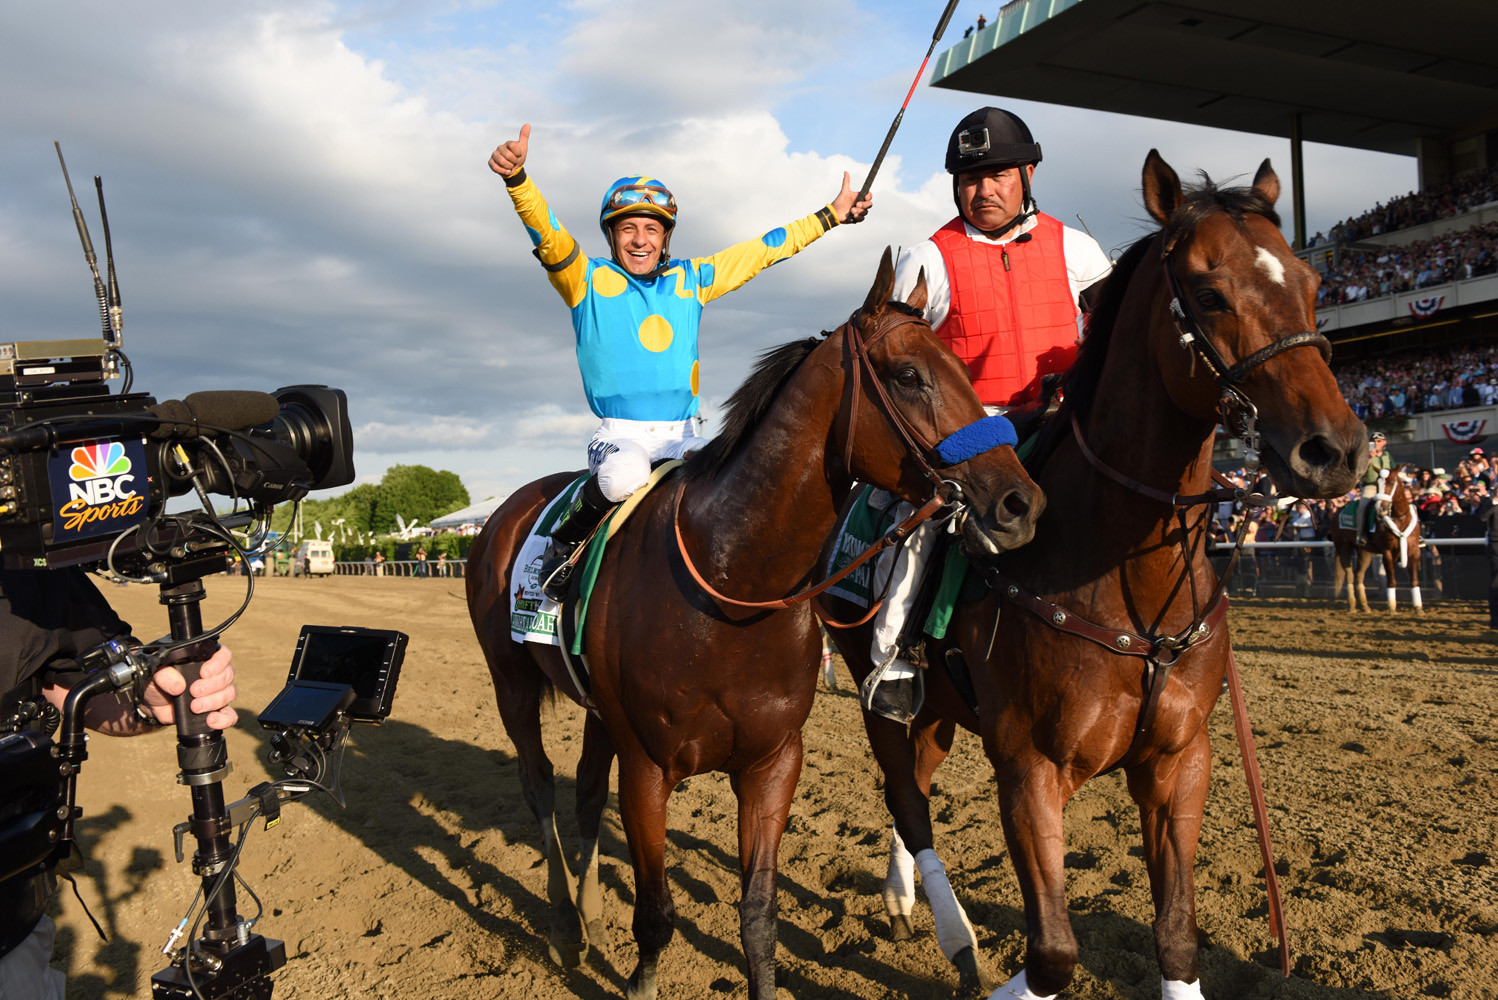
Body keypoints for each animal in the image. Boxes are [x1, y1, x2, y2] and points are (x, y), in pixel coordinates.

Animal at [467, 251, 1042, 999]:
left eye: (967, 374)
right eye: (910, 376)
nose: (1019, 502)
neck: (733, 584)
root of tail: (501, 513)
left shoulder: (773, 761)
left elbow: (759, 916)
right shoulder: (647, 764)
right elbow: (656, 909)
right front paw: (640, 975)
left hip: (596, 709)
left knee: (586, 793)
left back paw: (588, 915)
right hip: (510, 679)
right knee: (537, 782)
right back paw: (565, 921)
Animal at [820, 150, 1372, 999]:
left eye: (1313, 287)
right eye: (1208, 293)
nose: (1335, 450)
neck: (1129, 587)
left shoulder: (1180, 763)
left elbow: (1176, 940)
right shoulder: (1029, 768)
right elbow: (1051, 953)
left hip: (939, 709)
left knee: (916, 781)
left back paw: (904, 896)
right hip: (875, 687)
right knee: (902, 789)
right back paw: (945, 925)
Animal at [1330, 464, 1420, 613]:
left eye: (1391, 482)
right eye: (1377, 484)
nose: (1381, 508)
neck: (1400, 519)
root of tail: (1339, 510)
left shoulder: (1414, 551)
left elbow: (1414, 580)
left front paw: (1419, 608)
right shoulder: (1387, 552)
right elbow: (1391, 580)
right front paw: (1392, 608)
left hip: (1364, 552)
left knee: (1359, 575)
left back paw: (1365, 607)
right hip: (1344, 548)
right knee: (1349, 575)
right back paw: (1352, 606)